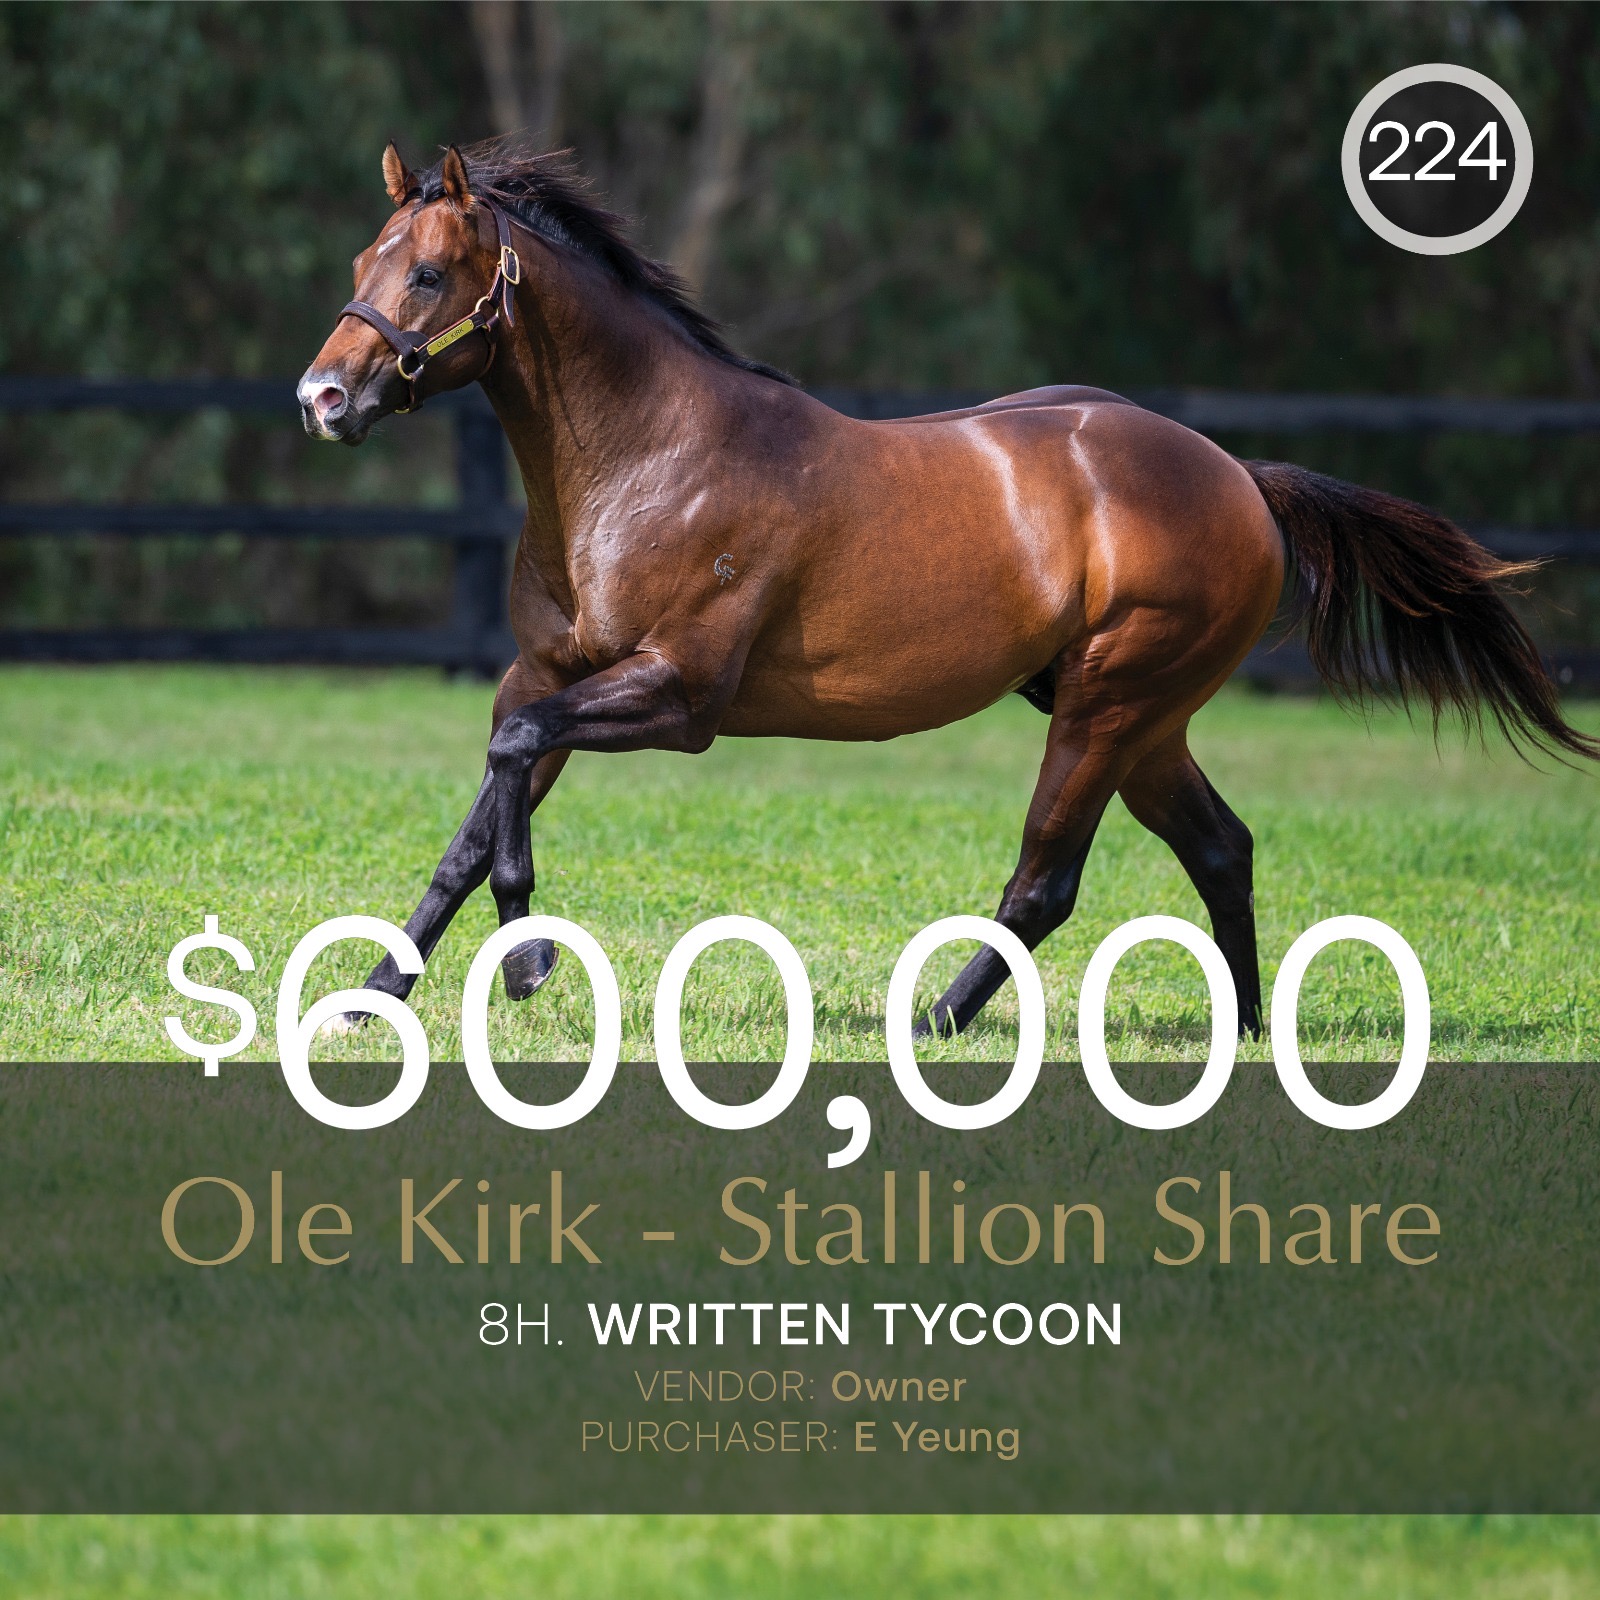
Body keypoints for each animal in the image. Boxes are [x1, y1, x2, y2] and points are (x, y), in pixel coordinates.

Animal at [298, 140, 1598, 1042]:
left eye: (428, 273)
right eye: (361, 264)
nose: (321, 399)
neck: (644, 458)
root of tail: (1240, 476)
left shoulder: (678, 698)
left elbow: (511, 768)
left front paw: (529, 964)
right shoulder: (553, 669)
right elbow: (476, 823)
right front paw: (367, 999)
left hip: (1110, 707)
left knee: (1044, 880)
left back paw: (931, 1020)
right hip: (1142, 720)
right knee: (1220, 847)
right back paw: (1244, 1032)